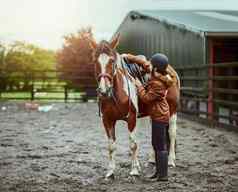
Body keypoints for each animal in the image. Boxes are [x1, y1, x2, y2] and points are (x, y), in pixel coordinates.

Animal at [88, 34, 180, 178]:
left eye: (112, 61)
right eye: (94, 61)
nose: (104, 90)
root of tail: (171, 71)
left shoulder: (131, 118)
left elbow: (133, 144)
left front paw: (134, 170)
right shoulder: (107, 120)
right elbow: (111, 146)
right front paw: (110, 172)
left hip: (173, 111)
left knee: (171, 133)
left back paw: (171, 160)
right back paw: (152, 160)